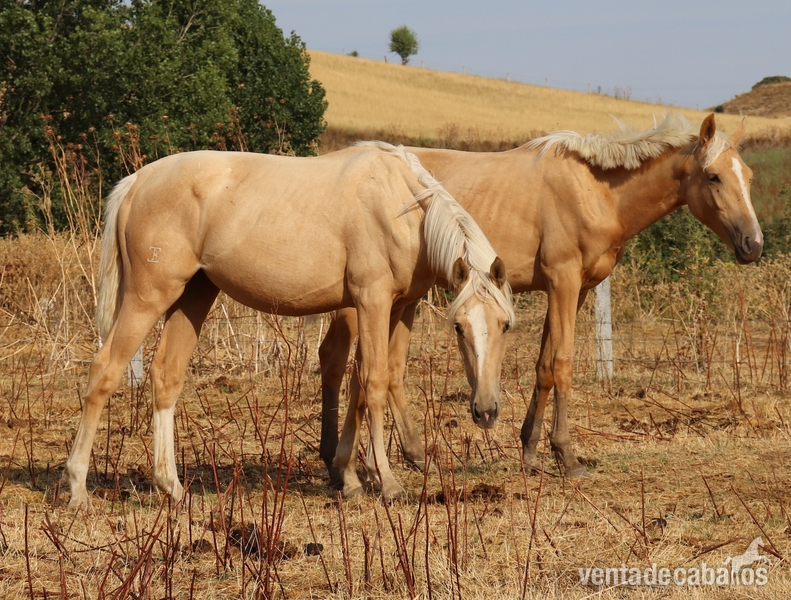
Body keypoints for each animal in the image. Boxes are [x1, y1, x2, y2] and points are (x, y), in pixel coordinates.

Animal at [64, 141, 515, 507]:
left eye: (505, 326)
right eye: (459, 327)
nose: (486, 411)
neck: (401, 206)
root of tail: (137, 181)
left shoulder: (398, 307)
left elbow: (364, 384)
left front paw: (352, 478)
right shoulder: (372, 301)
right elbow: (374, 383)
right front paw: (386, 482)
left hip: (194, 295)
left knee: (166, 376)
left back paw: (171, 486)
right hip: (149, 297)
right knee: (104, 371)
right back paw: (78, 488)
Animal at [318, 113, 763, 482]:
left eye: (749, 177)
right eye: (713, 177)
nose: (753, 244)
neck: (595, 192)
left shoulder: (574, 290)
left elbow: (545, 365)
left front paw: (531, 450)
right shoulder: (563, 282)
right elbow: (562, 363)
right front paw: (567, 456)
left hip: (405, 297)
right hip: (362, 303)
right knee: (341, 361)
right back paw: (342, 463)